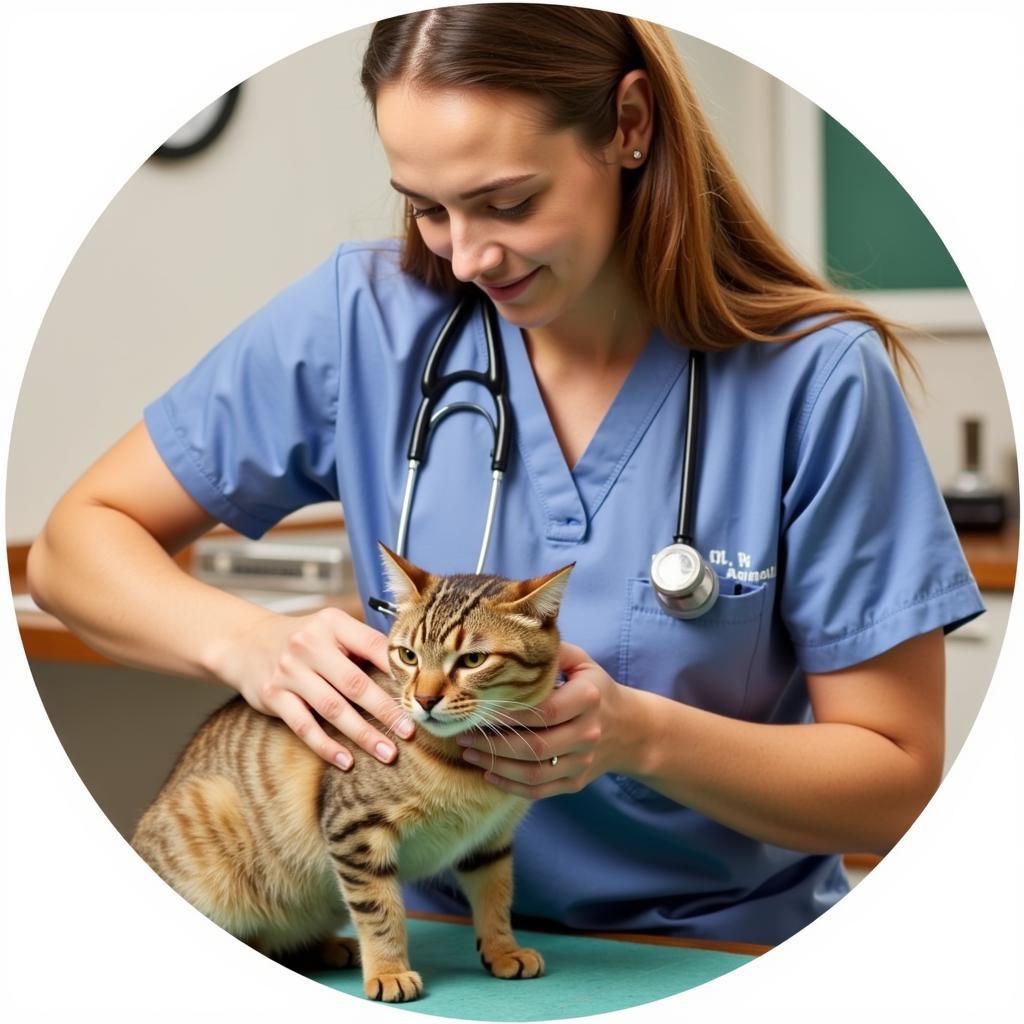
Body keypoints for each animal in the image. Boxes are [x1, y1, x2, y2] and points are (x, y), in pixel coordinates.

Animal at [131, 548, 573, 1003]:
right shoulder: (356, 830)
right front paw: (389, 971)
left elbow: (496, 897)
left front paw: (503, 949)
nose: (425, 699)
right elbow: (379, 910)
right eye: (408, 655)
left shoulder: (491, 841)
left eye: (473, 659)